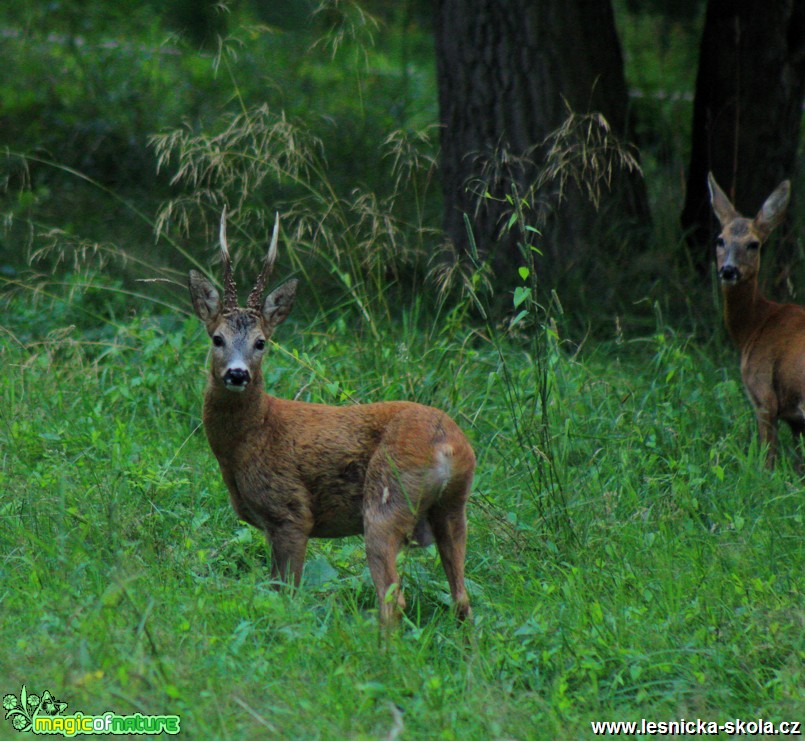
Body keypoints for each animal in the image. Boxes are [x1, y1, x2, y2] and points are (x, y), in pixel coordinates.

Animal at [187, 211, 478, 620]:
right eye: (217, 338)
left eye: (262, 342)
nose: (237, 374)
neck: (251, 439)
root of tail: (449, 446)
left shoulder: (290, 511)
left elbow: (285, 593)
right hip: (453, 508)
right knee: (462, 598)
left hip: (386, 498)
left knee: (393, 597)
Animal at [708, 171, 800, 466]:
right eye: (720, 239)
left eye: (753, 244)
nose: (728, 270)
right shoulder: (796, 419)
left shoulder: (763, 395)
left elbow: (766, 460)